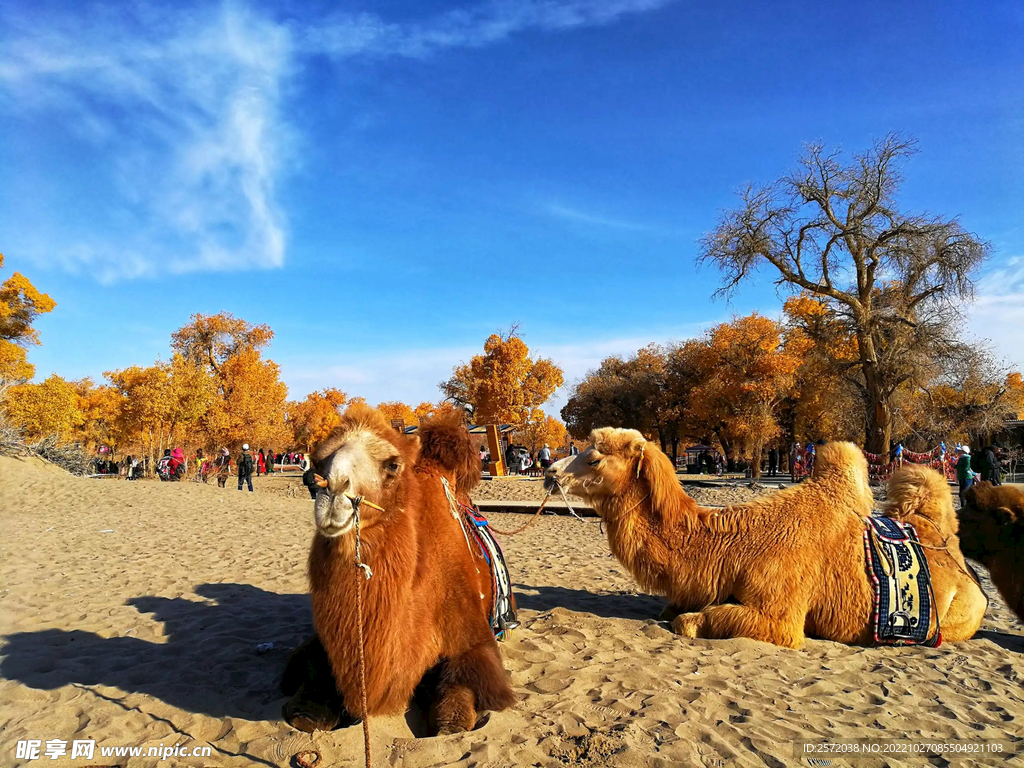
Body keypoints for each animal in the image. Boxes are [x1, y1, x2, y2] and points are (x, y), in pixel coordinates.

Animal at [280, 405, 516, 737]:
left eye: (392, 464)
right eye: (317, 460)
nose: (333, 492)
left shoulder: (473, 639)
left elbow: (455, 714)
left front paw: (451, 717)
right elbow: (308, 692)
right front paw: (309, 711)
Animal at [544, 430, 983, 647]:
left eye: (594, 457)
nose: (550, 471)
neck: (734, 546)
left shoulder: (781, 615)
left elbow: (687, 621)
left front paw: (688, 621)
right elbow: (671, 609)